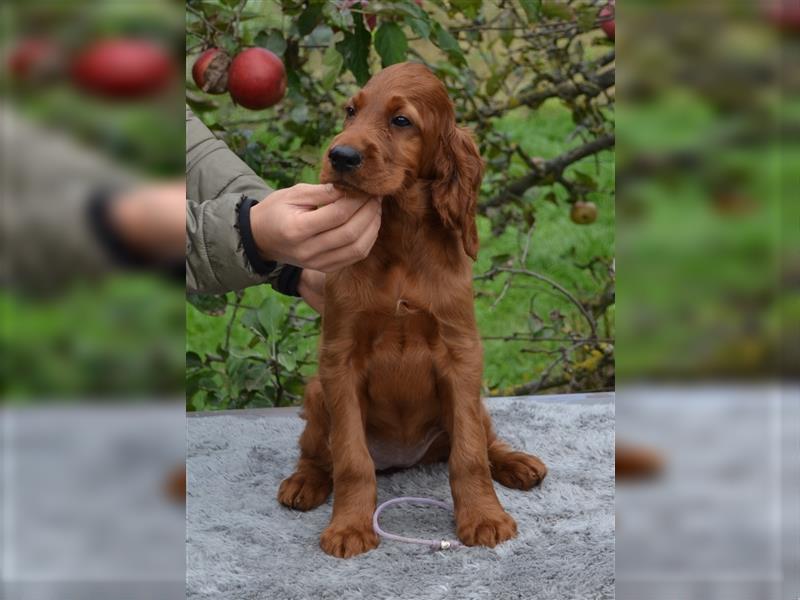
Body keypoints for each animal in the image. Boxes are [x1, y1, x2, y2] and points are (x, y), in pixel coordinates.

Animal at [278, 62, 548, 556]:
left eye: (401, 120)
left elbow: (469, 455)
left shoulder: (462, 354)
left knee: (485, 440)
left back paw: (517, 462)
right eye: (351, 111)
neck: (400, 235)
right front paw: (349, 527)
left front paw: (484, 516)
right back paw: (304, 481)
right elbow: (351, 459)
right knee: (316, 451)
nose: (339, 156)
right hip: (316, 393)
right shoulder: (339, 359)